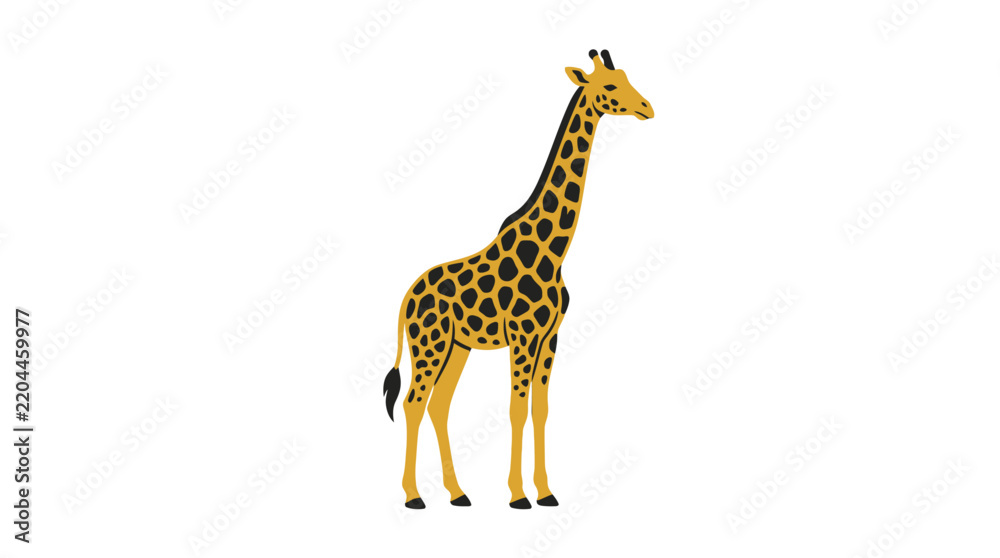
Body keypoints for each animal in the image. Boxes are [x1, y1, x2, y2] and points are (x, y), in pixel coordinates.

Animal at [382, 49, 653, 509]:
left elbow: (539, 409)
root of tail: (407, 297)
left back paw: (457, 493)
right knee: (413, 402)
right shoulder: (523, 335)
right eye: (609, 86)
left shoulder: (550, 337)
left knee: (439, 405)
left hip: (456, 347)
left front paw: (545, 492)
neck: (554, 250)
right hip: (429, 344)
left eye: (627, 77)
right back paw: (414, 496)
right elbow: (516, 407)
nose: (647, 108)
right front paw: (517, 495)